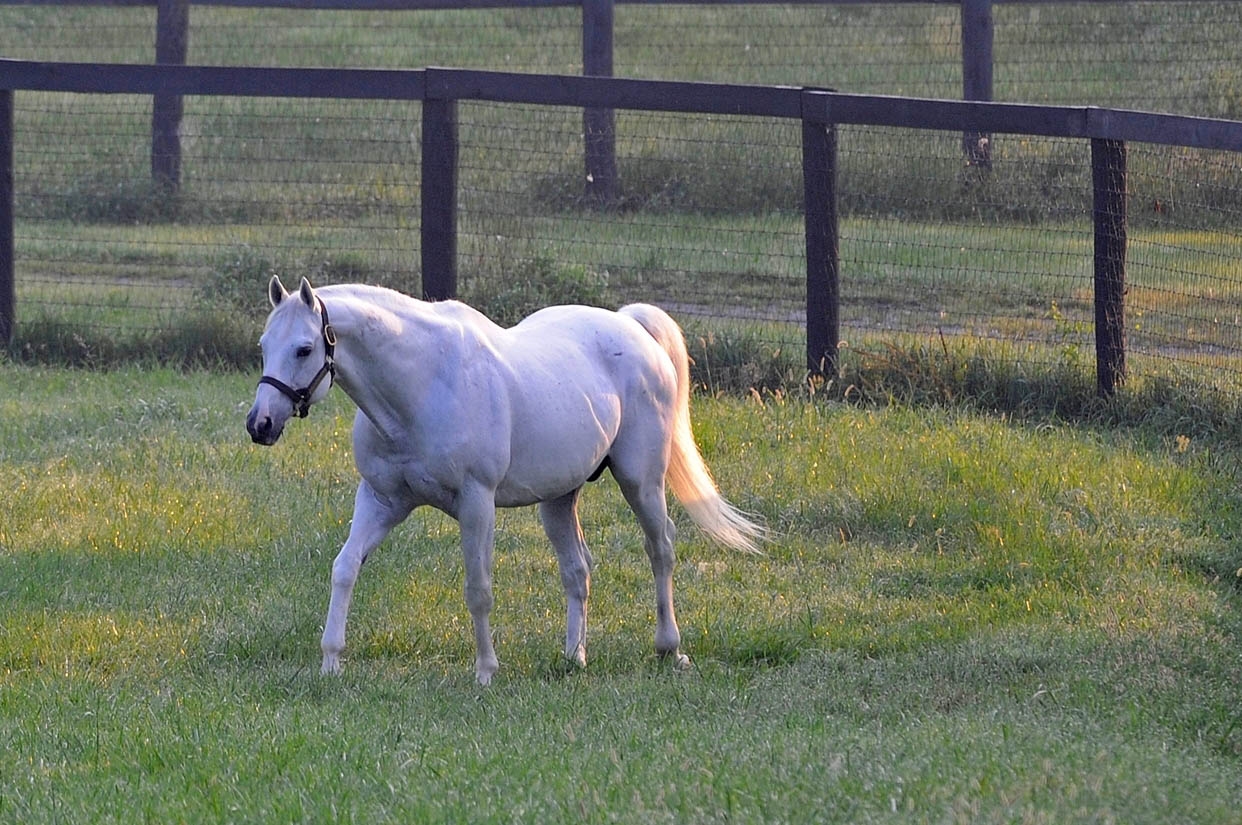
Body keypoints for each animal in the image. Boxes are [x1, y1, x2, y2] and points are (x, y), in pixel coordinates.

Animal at [245, 277, 760, 680]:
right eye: (264, 346)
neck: (422, 384)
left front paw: (486, 670)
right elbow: (345, 568)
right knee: (578, 568)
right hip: (558, 499)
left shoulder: (477, 503)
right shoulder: (381, 500)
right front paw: (331, 662)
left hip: (641, 482)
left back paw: (669, 649)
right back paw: (574, 656)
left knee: (661, 549)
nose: (260, 424)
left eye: (304, 349)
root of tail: (631, 325)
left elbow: (478, 589)